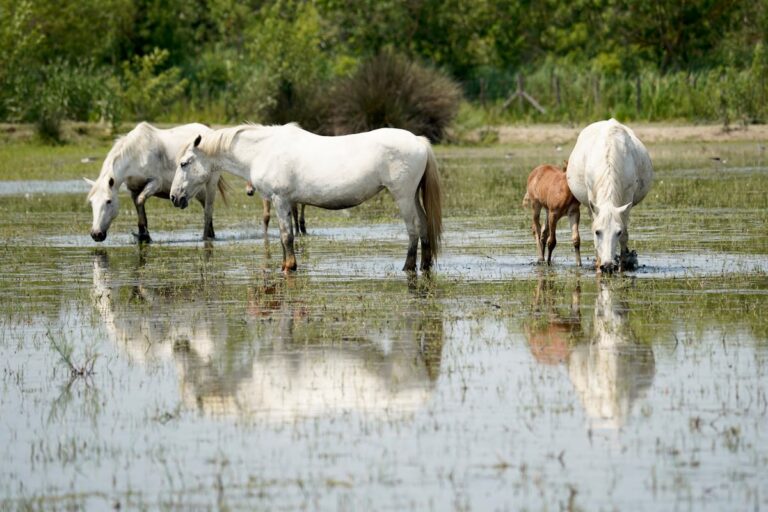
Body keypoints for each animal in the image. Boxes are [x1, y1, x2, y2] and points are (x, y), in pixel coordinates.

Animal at [84, 122, 227, 243]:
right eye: (91, 202)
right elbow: (139, 207)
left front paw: (143, 235)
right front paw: (143, 235)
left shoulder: (155, 183)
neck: (137, 154)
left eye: (108, 201)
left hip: (209, 184)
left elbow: (141, 200)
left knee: (208, 209)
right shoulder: (134, 190)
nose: (96, 234)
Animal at [170, 123, 443, 273]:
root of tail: (418, 141)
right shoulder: (286, 202)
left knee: (413, 229)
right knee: (424, 225)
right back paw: (425, 265)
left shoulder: (280, 200)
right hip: (412, 196)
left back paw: (408, 267)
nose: (174, 197)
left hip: (403, 196)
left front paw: (289, 267)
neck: (262, 150)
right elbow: (286, 236)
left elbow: (286, 236)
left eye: (184, 163)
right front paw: (285, 264)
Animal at [566, 119, 654, 273]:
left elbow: (625, 236)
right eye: (597, 232)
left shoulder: (627, 199)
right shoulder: (593, 200)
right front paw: (598, 264)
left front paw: (622, 266)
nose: (607, 266)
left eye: (617, 232)